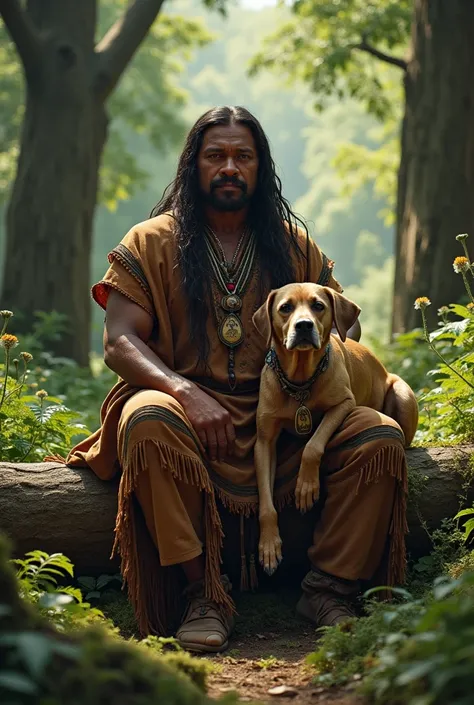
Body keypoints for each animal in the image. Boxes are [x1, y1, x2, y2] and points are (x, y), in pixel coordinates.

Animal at [252, 284, 418, 576]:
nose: (304, 325)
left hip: (402, 393)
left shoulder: (343, 403)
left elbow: (313, 445)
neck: (300, 379)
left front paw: (306, 487)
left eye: (318, 305)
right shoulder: (264, 442)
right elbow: (266, 505)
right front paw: (269, 546)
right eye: (285, 308)